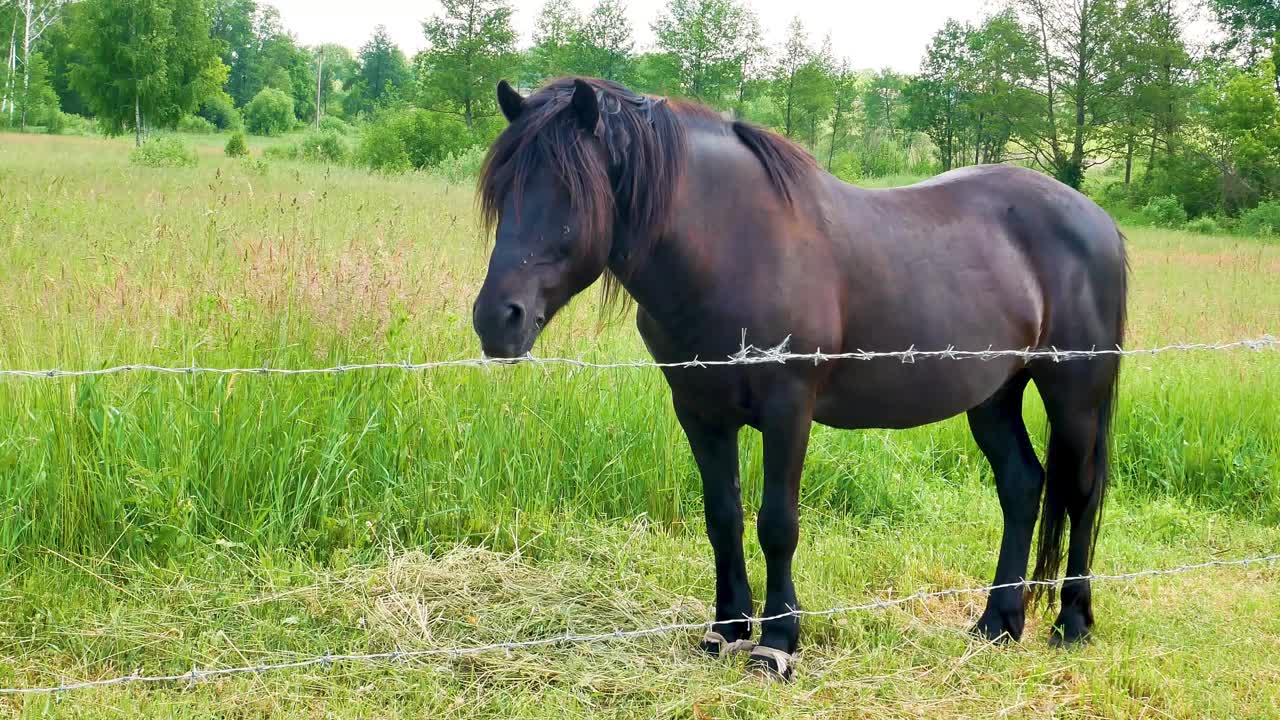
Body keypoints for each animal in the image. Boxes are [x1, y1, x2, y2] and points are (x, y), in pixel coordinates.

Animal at [473, 75, 1131, 676]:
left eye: (570, 193)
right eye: (503, 190)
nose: (495, 320)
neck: (736, 249)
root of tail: (1095, 218)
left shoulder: (788, 408)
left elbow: (777, 524)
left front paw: (777, 641)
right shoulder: (700, 412)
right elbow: (723, 517)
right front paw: (726, 629)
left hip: (1074, 393)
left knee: (1080, 491)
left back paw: (1072, 621)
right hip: (994, 395)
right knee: (1022, 486)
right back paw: (998, 623)